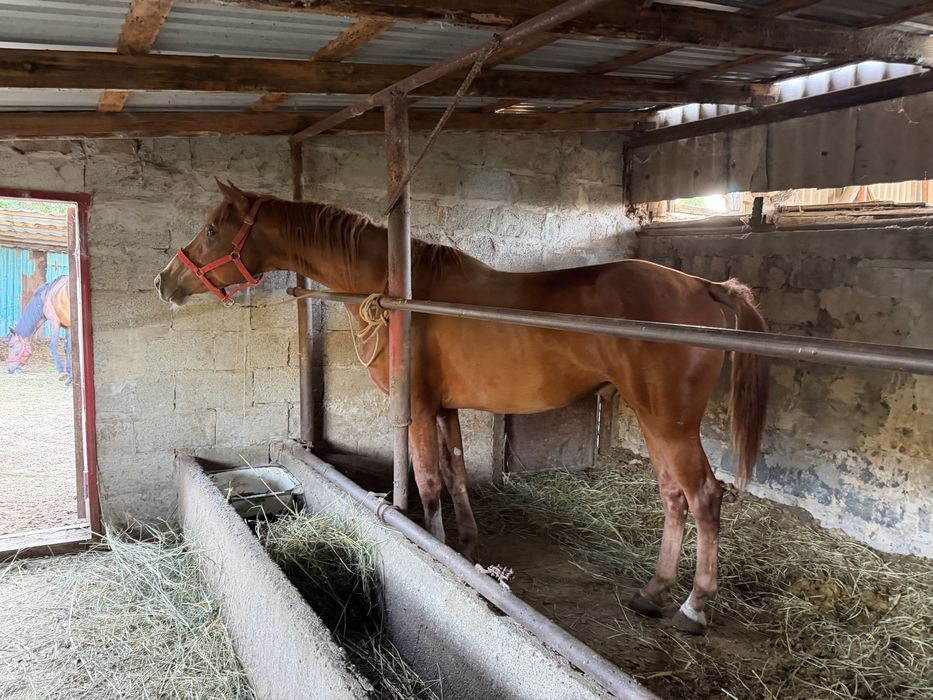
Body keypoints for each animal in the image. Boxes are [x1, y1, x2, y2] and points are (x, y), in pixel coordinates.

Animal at [155, 181, 770, 634]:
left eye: (212, 229)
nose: (165, 281)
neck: (398, 295)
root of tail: (704, 286)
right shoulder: (444, 408)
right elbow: (454, 472)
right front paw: (468, 543)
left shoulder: (416, 408)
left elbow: (427, 481)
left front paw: (435, 545)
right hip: (654, 422)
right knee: (673, 497)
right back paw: (653, 591)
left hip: (670, 423)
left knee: (703, 497)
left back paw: (693, 606)